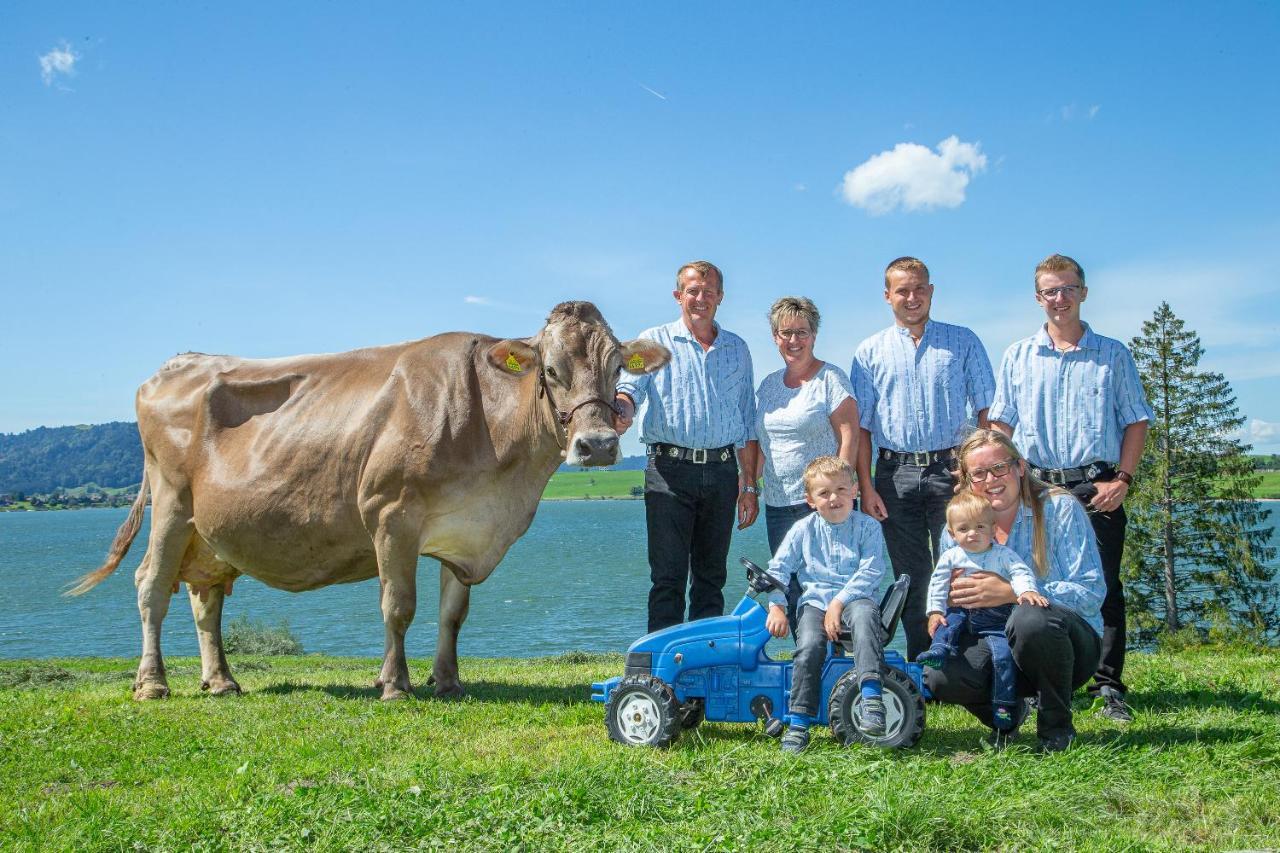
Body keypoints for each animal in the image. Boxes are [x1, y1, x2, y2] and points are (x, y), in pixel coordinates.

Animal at [70, 300, 670, 696]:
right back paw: (152, 683)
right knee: (151, 586)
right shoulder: (390, 513)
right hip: (172, 504)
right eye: (550, 370)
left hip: (211, 529)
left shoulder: (464, 531)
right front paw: (395, 684)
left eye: (617, 367)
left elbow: (453, 614)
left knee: (206, 597)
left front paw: (447, 682)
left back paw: (220, 681)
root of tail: (175, 363)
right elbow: (398, 605)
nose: (597, 445)